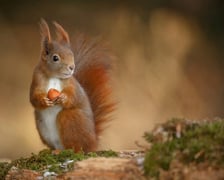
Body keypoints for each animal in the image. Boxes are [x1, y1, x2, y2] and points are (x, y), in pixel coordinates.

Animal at [29, 19, 114, 152]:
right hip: (41, 126)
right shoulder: (36, 80)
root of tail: (93, 142)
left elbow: (74, 96)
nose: (72, 67)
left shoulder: (72, 84)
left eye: (71, 55)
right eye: (55, 58)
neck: (54, 76)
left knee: (76, 147)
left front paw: (64, 98)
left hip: (69, 118)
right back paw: (53, 150)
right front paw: (43, 101)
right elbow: (33, 97)